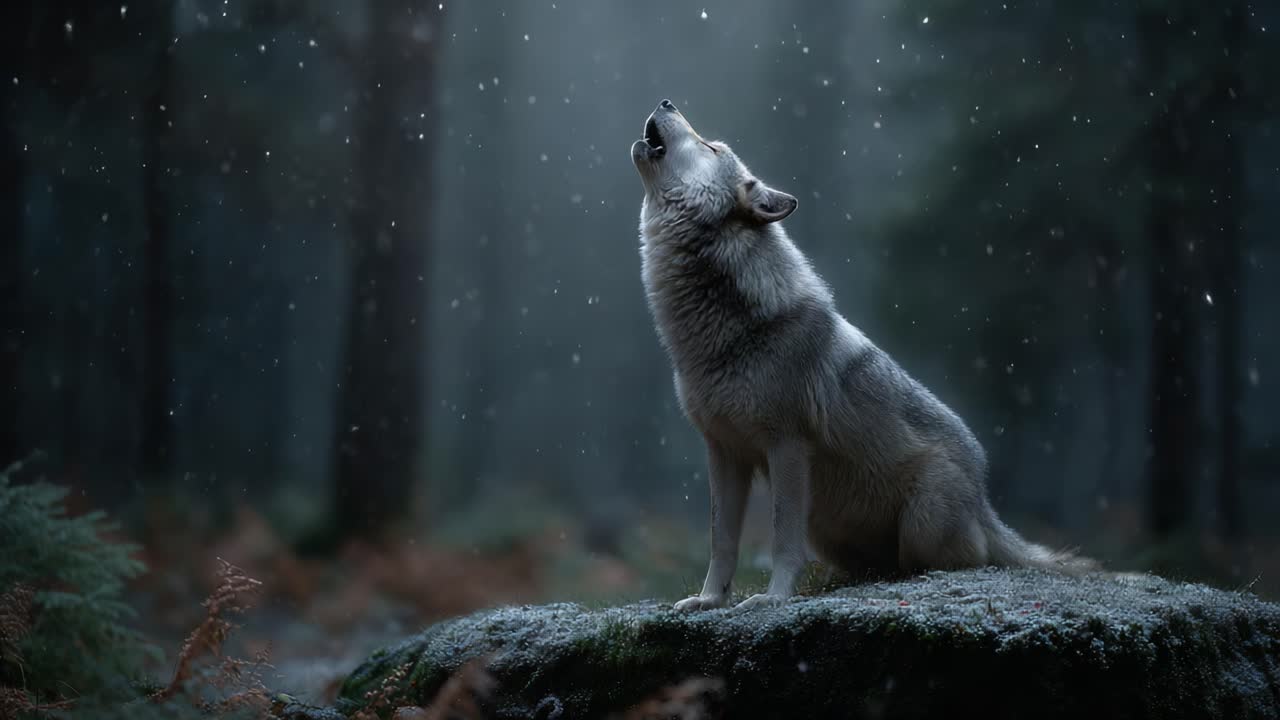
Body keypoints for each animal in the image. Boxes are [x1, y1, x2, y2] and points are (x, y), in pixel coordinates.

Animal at [630, 99, 1097, 612]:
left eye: (711, 147)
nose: (667, 102)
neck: (726, 328)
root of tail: (985, 500)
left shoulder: (788, 446)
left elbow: (780, 538)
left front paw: (773, 599)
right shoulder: (723, 453)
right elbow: (721, 540)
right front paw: (709, 600)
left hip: (918, 524)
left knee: (956, 560)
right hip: (828, 527)